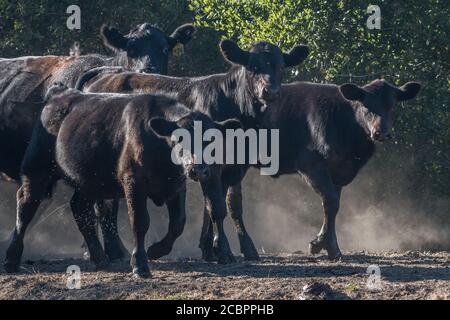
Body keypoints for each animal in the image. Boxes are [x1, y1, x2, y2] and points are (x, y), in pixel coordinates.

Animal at [4, 85, 243, 278]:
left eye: (211, 140)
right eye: (178, 139)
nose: (198, 168)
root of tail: (58, 96)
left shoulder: (176, 186)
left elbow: (178, 223)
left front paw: (156, 250)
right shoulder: (134, 183)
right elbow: (140, 221)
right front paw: (140, 264)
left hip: (89, 181)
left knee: (80, 209)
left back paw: (100, 258)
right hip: (37, 169)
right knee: (26, 206)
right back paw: (11, 259)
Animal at [77, 38, 310, 262]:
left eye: (281, 66)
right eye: (253, 66)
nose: (270, 92)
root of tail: (105, 75)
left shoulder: (234, 166)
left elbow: (229, 205)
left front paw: (227, 248)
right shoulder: (211, 166)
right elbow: (216, 207)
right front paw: (223, 250)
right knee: (103, 206)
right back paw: (112, 251)